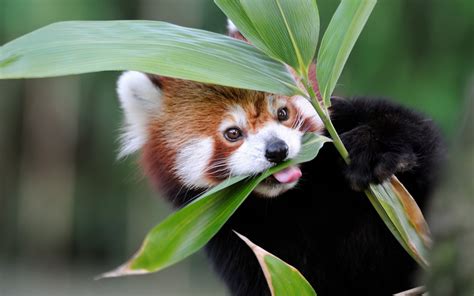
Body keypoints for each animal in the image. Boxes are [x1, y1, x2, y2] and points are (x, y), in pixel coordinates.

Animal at [116, 24, 442, 294]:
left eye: (283, 113)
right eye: (233, 133)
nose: (276, 150)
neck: (292, 201)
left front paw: (373, 150)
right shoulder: (230, 241)